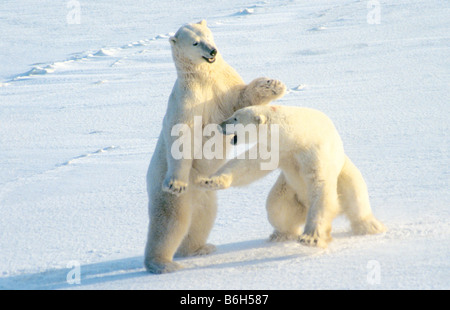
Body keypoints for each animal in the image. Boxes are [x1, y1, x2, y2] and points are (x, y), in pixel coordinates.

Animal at [144, 20, 284, 274]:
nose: (213, 51)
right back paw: (163, 264)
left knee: (202, 218)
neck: (204, 78)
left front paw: (272, 84)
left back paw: (200, 248)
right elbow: (181, 134)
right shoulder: (188, 99)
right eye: (195, 42)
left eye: (208, 35)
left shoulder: (224, 83)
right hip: (165, 189)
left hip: (204, 194)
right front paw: (176, 183)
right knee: (170, 223)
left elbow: (242, 99)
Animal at [198, 103, 386, 247]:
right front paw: (210, 181)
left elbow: (321, 184)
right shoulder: (277, 149)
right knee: (277, 207)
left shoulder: (315, 150)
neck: (298, 137)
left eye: (236, 118)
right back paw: (281, 234)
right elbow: (247, 165)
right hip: (288, 190)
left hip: (345, 176)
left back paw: (370, 227)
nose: (220, 124)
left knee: (355, 197)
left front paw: (310, 238)